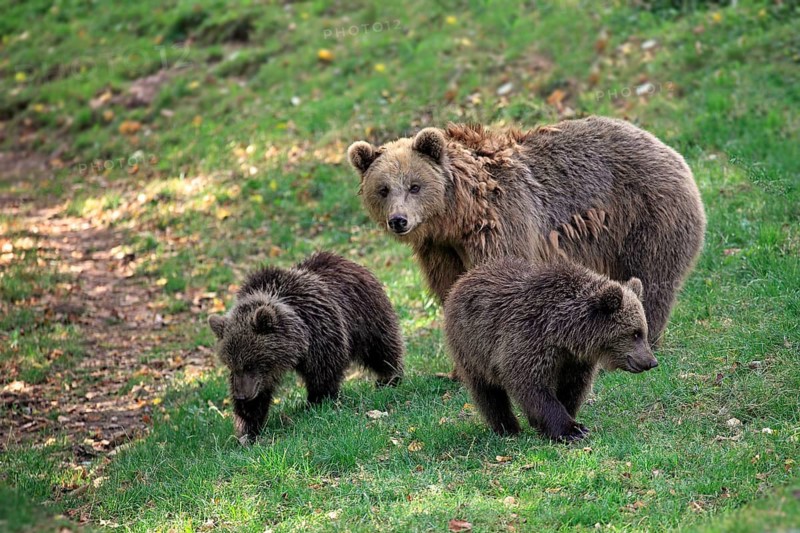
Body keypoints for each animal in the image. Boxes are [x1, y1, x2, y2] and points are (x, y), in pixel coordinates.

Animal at [208, 252, 404, 443]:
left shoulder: (321, 333)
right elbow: (258, 397)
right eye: (231, 365)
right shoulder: (261, 377)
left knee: (382, 348)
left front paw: (317, 403)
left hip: (366, 315)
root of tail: (346, 260)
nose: (242, 396)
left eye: (249, 364)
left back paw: (389, 378)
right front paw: (248, 429)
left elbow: (323, 374)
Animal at [347, 116, 706, 346]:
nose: (399, 220)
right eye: (383, 189)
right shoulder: (441, 250)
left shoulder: (502, 222)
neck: (459, 215)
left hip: (645, 214)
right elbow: (450, 289)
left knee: (653, 275)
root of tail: (666, 147)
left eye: (415, 186)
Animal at [443, 257, 658, 441]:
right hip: (472, 347)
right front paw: (572, 430)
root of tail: (463, 279)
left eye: (643, 331)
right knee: (487, 393)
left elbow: (572, 388)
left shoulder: (575, 360)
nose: (651, 361)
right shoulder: (528, 339)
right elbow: (533, 386)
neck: (564, 335)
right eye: (635, 333)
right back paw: (507, 427)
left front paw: (561, 421)